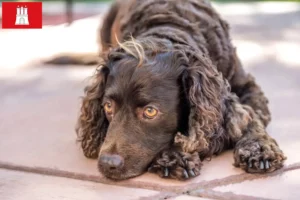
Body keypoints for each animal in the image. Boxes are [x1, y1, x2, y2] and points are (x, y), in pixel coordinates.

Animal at [48, 0, 286, 180]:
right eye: (107, 106)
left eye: (150, 111)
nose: (108, 164)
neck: (169, 27)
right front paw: (175, 156)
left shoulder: (248, 88)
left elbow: (251, 117)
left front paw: (259, 149)